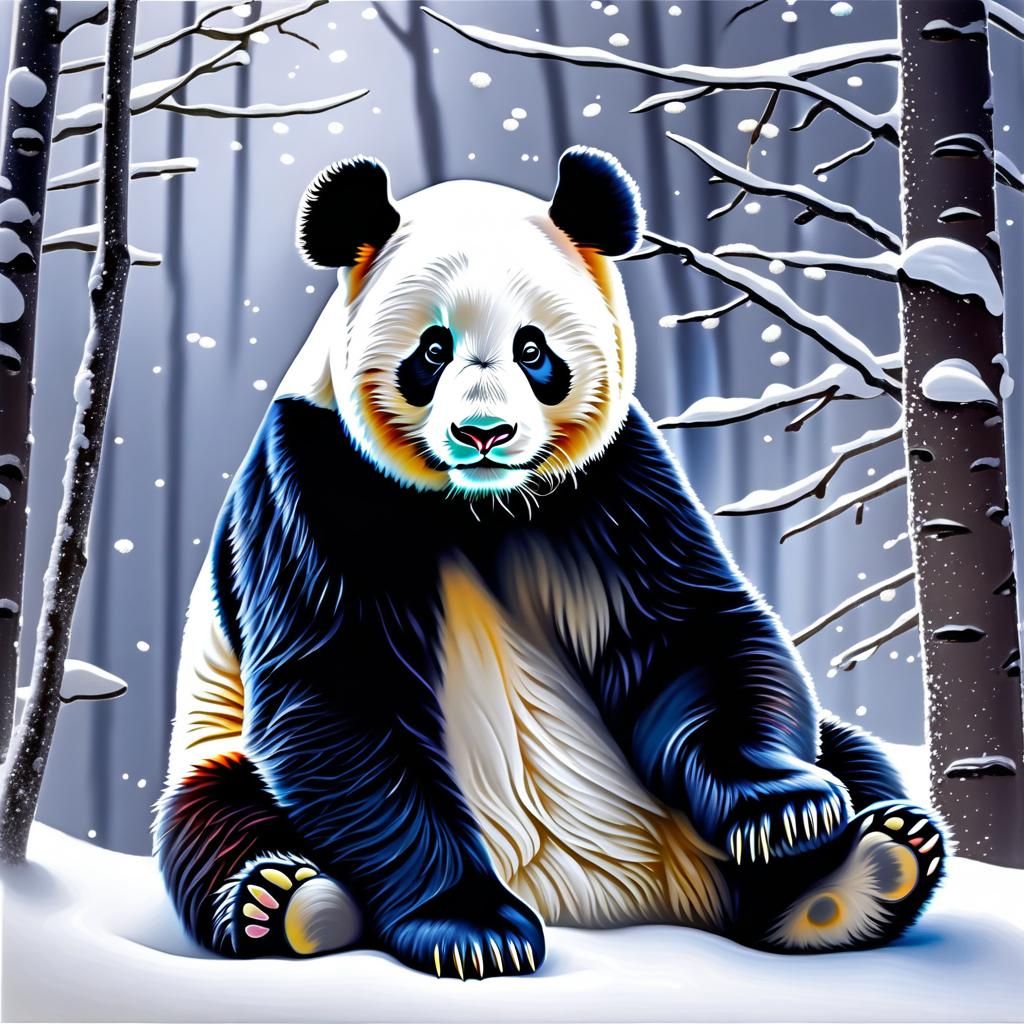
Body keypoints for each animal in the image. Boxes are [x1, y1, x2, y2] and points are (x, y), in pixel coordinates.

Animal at [155, 148, 946, 977]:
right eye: (432, 351)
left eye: (533, 350)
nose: (484, 434)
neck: (478, 505)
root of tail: (613, 900)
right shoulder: (318, 479)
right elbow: (343, 687)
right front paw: (473, 929)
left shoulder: (610, 482)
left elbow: (685, 629)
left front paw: (784, 811)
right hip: (217, 746)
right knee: (218, 813)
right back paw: (286, 901)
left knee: (850, 753)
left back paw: (865, 867)